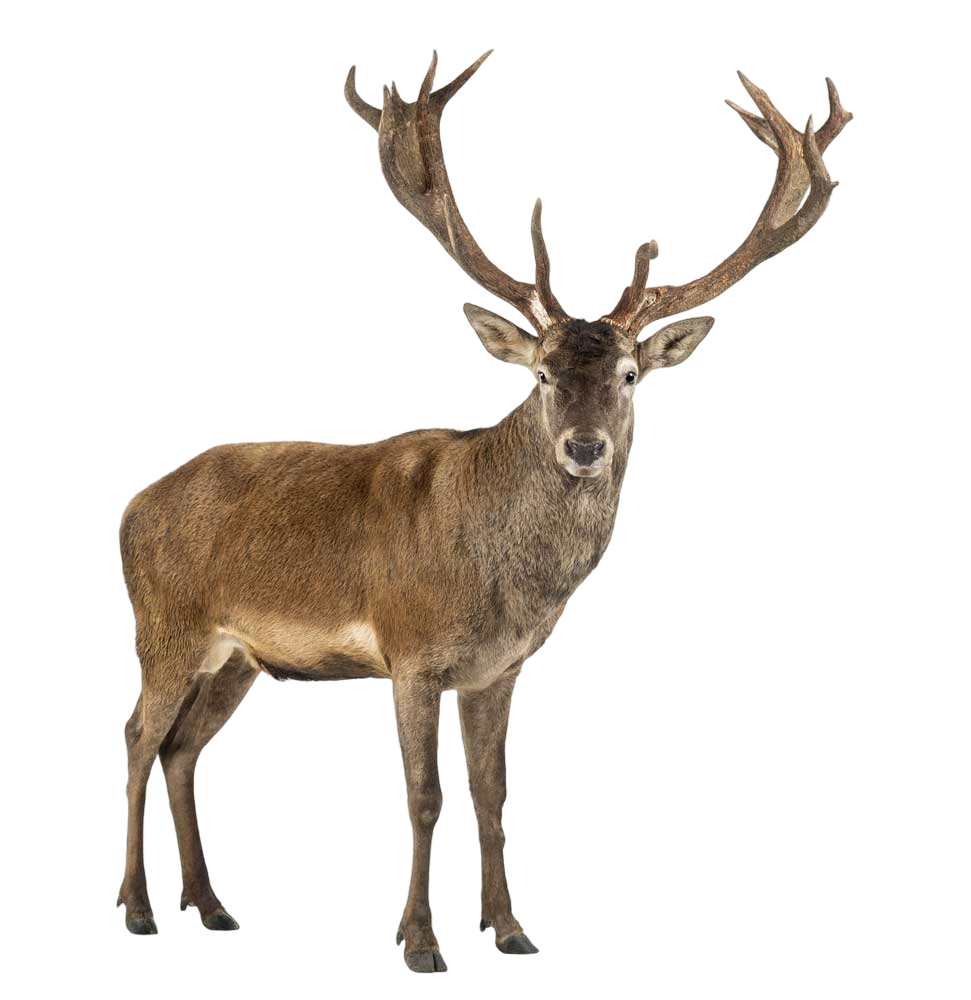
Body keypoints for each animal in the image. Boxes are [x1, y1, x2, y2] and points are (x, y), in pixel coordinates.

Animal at [116, 49, 852, 971]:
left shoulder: (501, 668)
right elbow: (425, 795)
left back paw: (212, 906)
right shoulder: (410, 651)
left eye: (630, 377)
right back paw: (138, 908)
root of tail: (131, 505)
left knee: (182, 751)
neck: (500, 583)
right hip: (163, 624)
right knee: (138, 738)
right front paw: (419, 941)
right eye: (537, 373)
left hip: (238, 658)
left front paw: (509, 928)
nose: (584, 447)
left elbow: (494, 793)